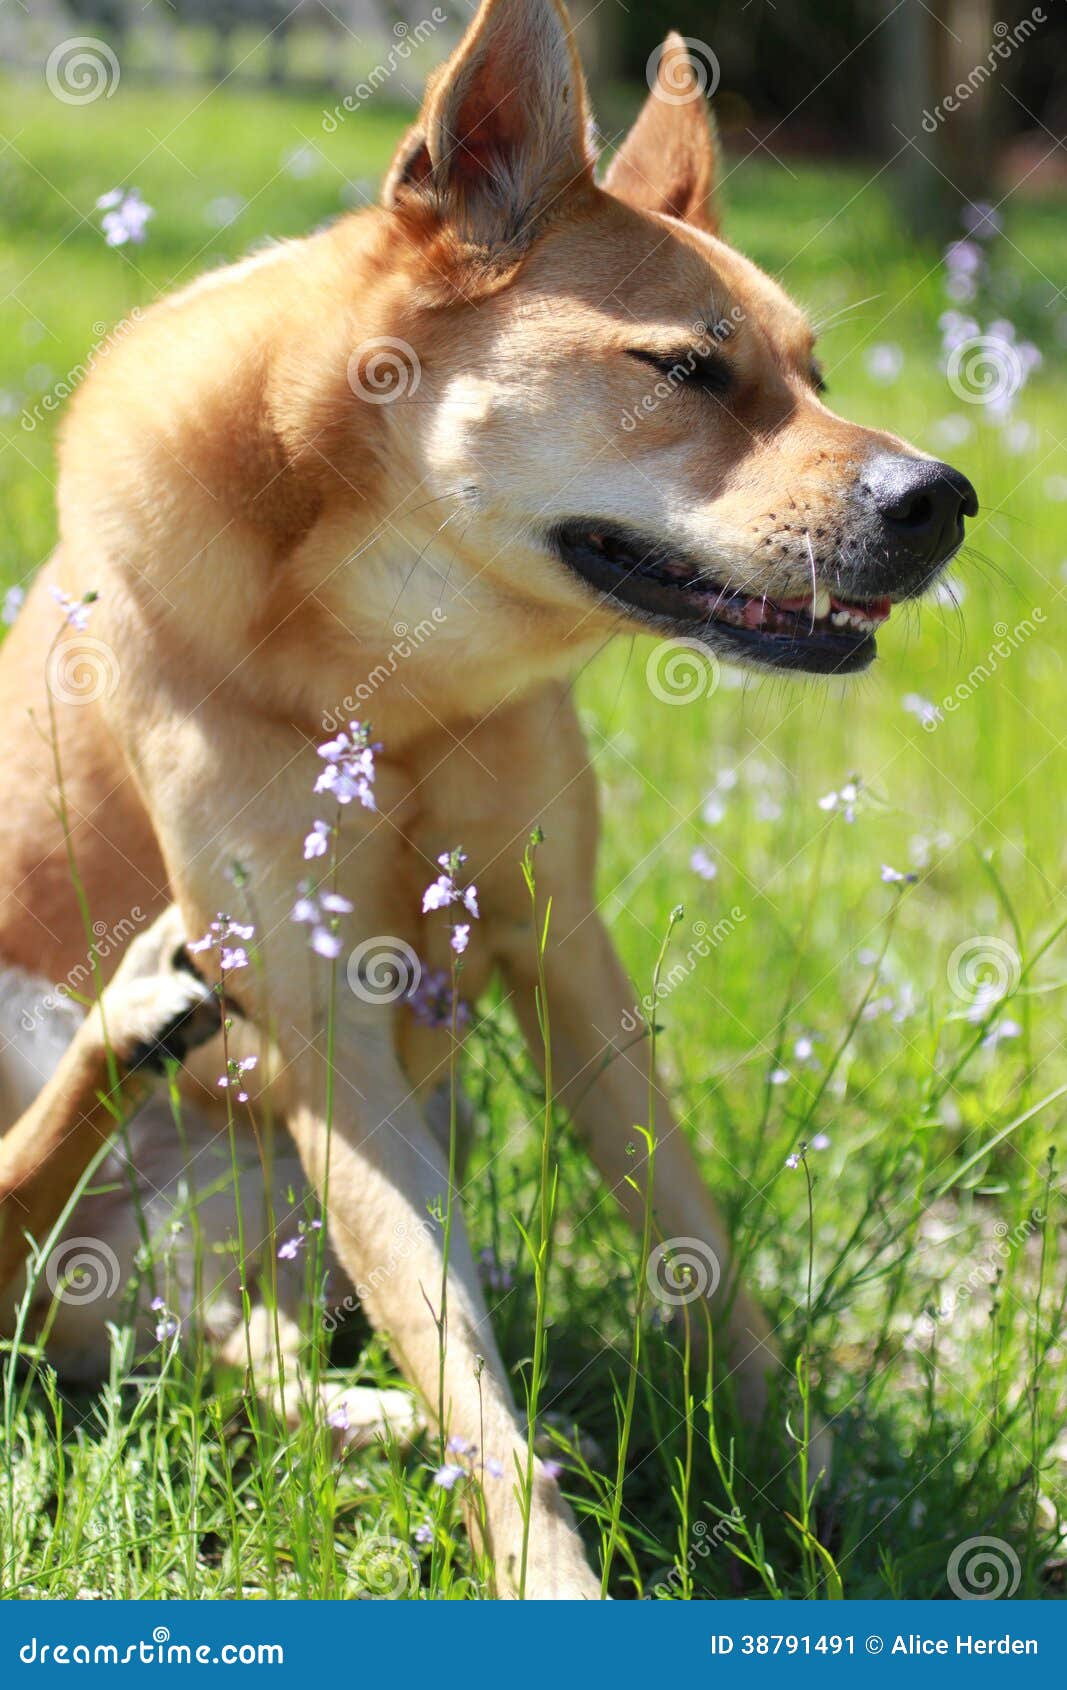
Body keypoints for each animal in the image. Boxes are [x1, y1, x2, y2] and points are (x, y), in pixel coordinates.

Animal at [0, 0, 973, 1595]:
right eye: (686, 370)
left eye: (815, 377)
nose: (943, 498)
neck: (389, 668)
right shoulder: (323, 1027)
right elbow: (469, 1383)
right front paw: (547, 1576)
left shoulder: (561, 948)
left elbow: (693, 1249)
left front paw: (803, 1462)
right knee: (17, 1239)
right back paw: (129, 1028)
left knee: (231, 1360)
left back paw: (361, 1410)